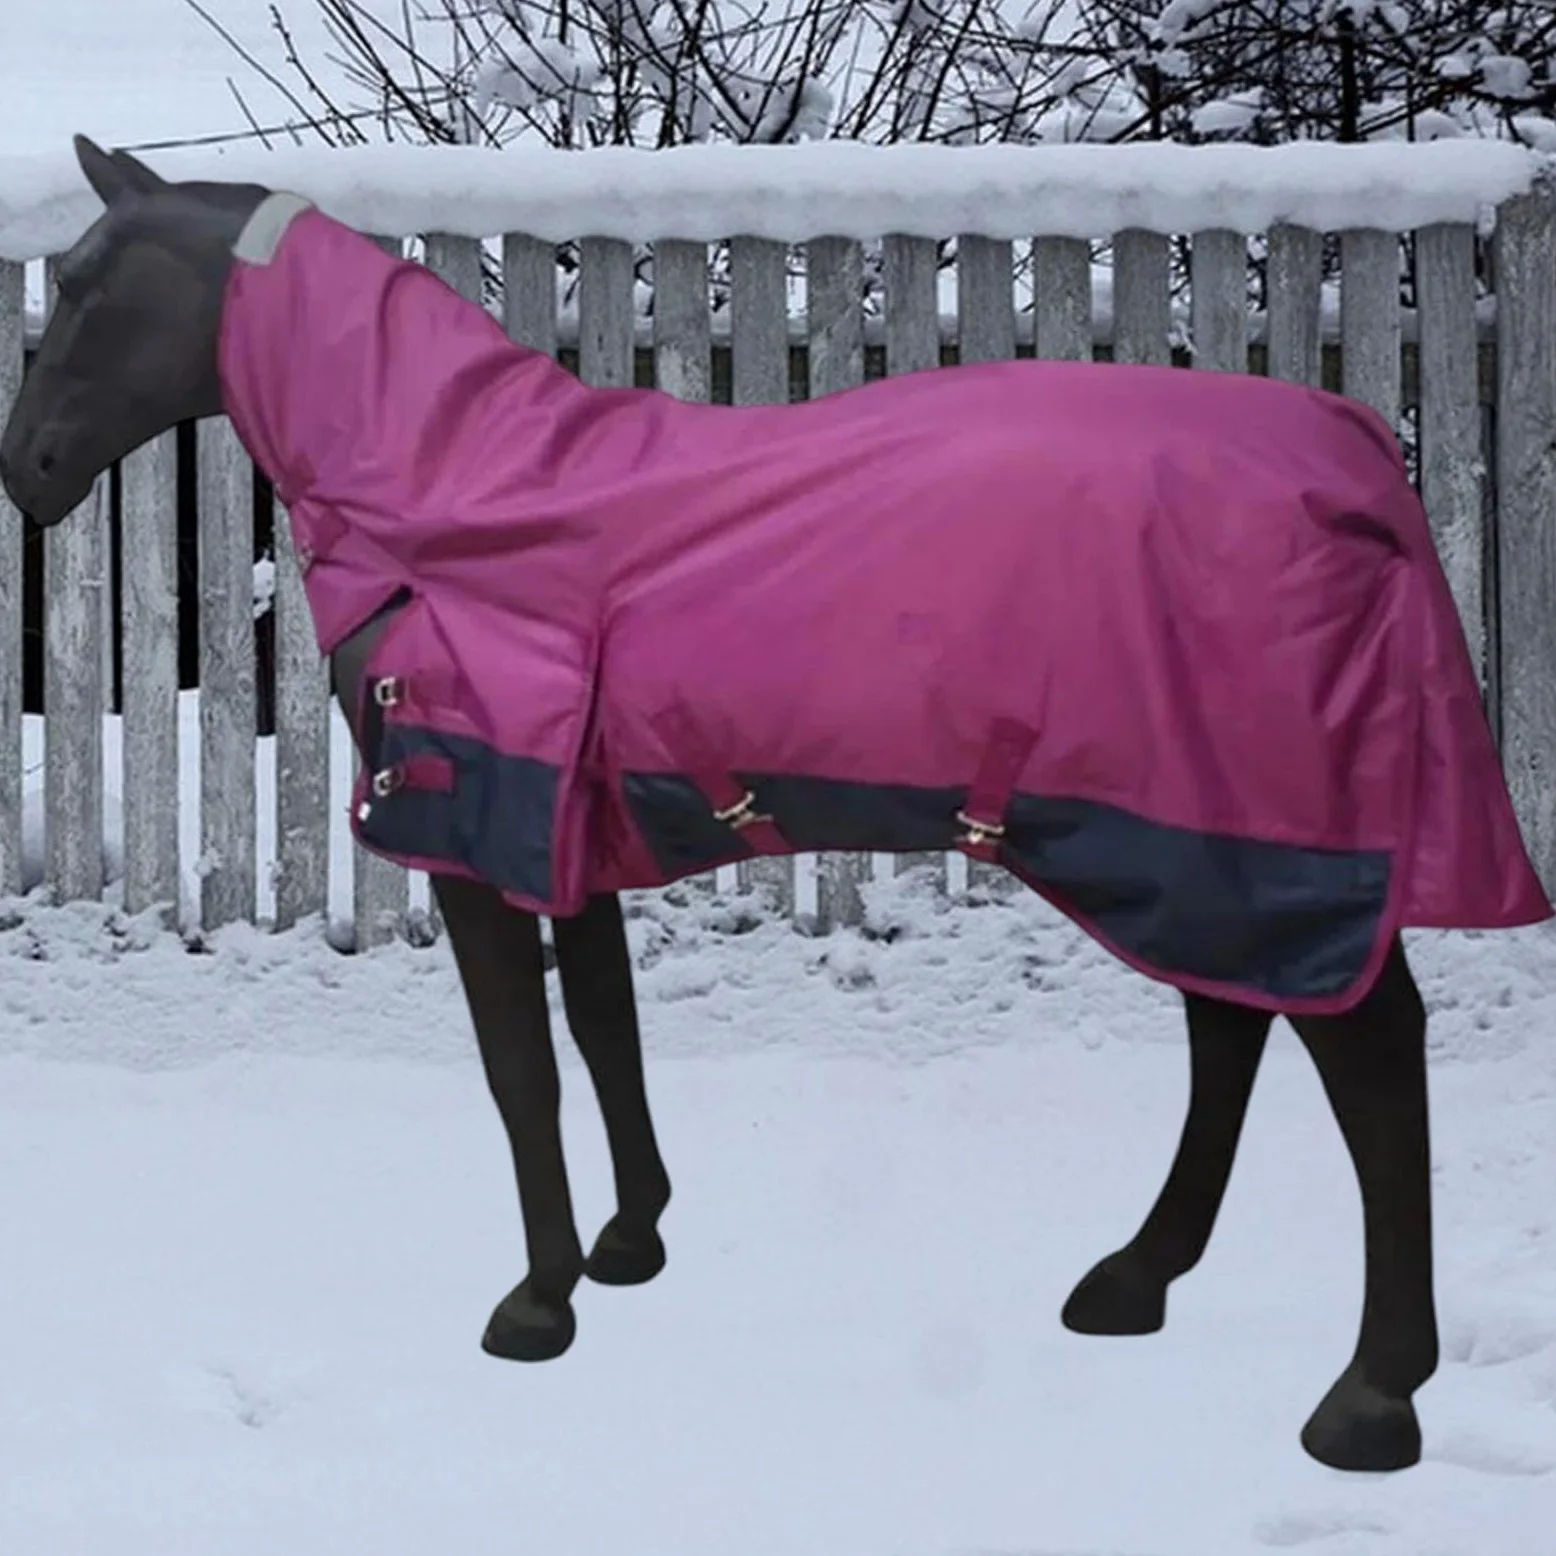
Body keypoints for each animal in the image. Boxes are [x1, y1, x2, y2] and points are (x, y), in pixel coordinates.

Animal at [3, 135, 1548, 1475]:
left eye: (83, 285)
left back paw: (1369, 1399)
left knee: (1365, 1055)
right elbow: (606, 1032)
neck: (459, 498)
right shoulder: (571, 834)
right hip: (1184, 845)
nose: (26, 470)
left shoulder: (474, 835)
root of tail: (1347, 447)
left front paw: (535, 1307)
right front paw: (629, 1246)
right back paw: (1133, 1280)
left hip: (1247, 843)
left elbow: (520, 1069)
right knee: (1231, 1034)